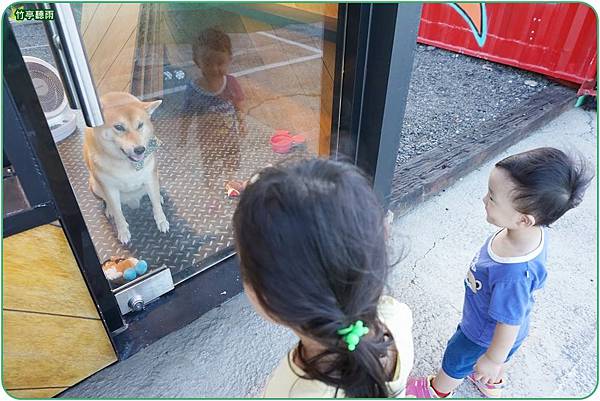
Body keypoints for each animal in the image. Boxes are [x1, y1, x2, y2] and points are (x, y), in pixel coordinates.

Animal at [83, 92, 169, 244]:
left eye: (140, 125)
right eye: (119, 127)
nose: (140, 149)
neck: (125, 164)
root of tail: (132, 201)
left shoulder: (150, 178)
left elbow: (156, 205)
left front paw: (161, 220)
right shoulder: (109, 188)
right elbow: (118, 214)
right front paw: (123, 231)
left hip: (156, 175)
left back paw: (159, 196)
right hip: (95, 186)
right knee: (107, 201)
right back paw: (109, 210)